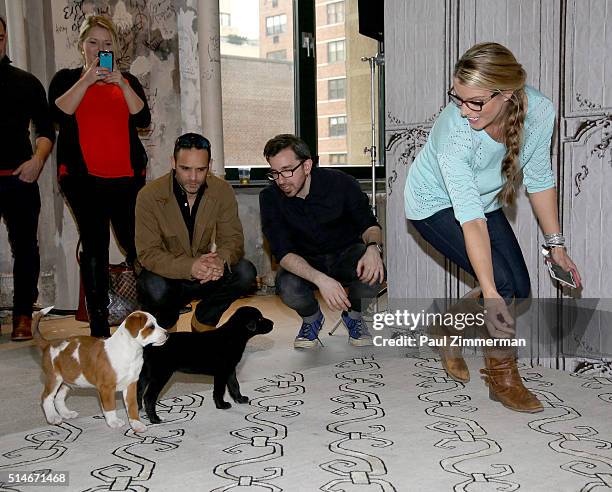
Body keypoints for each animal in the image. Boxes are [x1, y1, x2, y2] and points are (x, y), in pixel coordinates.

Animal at [33, 310, 167, 432]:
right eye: (151, 327)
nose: (167, 334)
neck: (130, 351)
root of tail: (48, 344)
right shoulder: (106, 388)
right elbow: (110, 406)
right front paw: (113, 422)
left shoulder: (131, 384)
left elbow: (132, 406)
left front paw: (136, 424)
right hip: (54, 379)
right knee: (46, 398)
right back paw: (53, 418)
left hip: (68, 380)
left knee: (58, 398)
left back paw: (66, 414)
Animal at [140, 304, 274, 422]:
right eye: (260, 319)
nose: (273, 323)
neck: (233, 336)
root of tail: (148, 346)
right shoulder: (222, 372)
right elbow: (220, 390)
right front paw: (221, 405)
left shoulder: (230, 370)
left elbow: (234, 385)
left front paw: (239, 399)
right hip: (160, 375)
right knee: (148, 397)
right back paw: (155, 419)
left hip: (143, 376)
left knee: (138, 394)